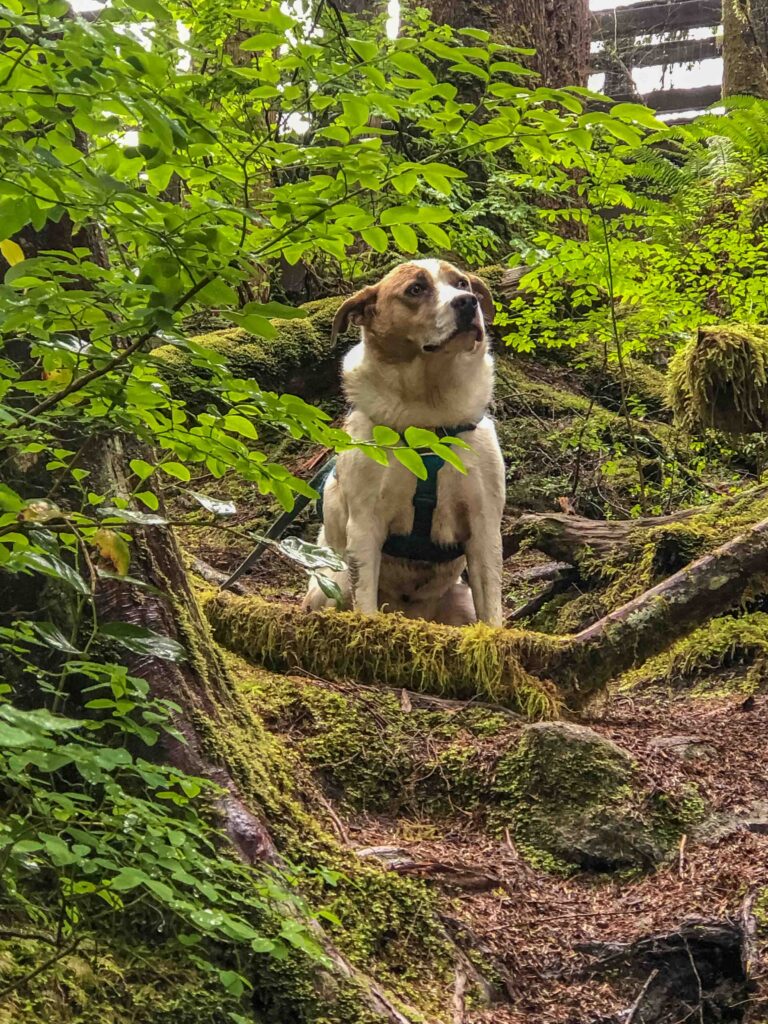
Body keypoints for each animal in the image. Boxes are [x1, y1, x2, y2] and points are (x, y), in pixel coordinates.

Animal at [303, 256, 507, 626]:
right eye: (415, 289)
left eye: (462, 284)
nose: (467, 303)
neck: (428, 413)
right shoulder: (365, 525)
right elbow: (365, 599)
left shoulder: (484, 525)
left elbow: (492, 610)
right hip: (331, 586)